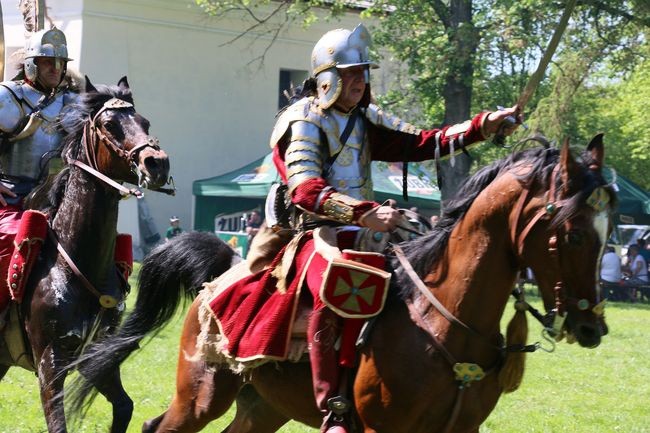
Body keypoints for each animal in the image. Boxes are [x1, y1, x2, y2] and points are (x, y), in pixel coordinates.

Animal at [0, 78, 171, 432]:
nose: (158, 163)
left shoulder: (94, 355)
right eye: (109, 125)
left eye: (145, 122)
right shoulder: (50, 362)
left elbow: (124, 406)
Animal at [68, 135, 616, 432]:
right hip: (201, 396)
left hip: (265, 406)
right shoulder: (376, 427)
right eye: (570, 233)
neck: (442, 322)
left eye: (608, 231)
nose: (591, 328)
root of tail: (221, 275)